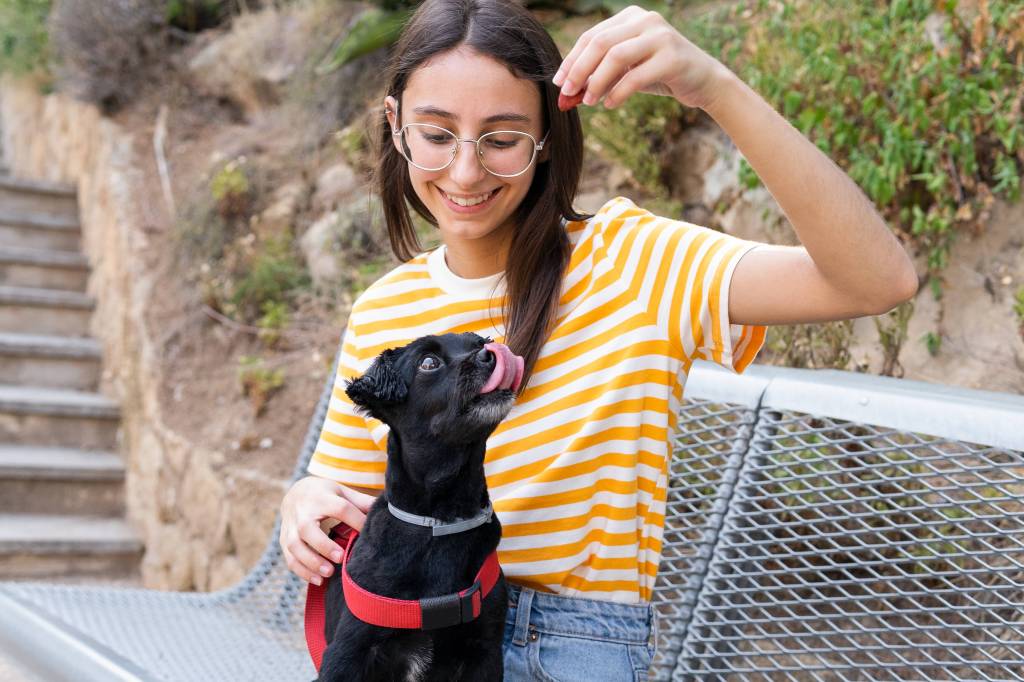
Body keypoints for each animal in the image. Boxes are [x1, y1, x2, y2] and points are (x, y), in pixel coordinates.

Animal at [315, 331, 524, 675]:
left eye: (479, 342)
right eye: (428, 362)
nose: (491, 355)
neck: (441, 522)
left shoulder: (485, 650)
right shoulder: (347, 653)